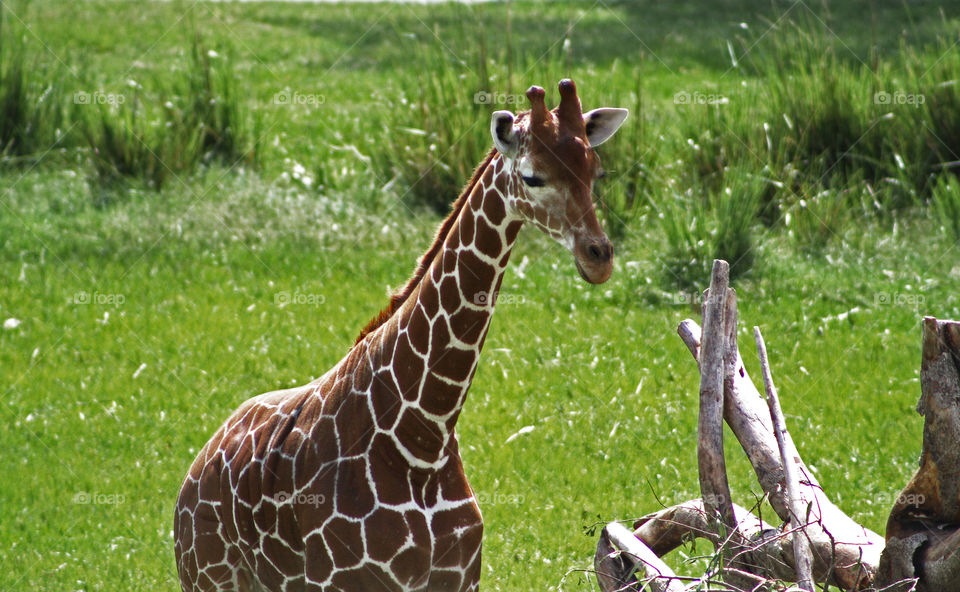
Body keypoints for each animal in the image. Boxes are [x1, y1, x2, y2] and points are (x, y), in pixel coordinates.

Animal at [174, 80, 632, 592]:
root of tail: (194, 472)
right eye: (532, 177)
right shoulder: (346, 581)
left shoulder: (458, 579)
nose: (598, 257)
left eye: (596, 170)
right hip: (209, 579)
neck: (423, 436)